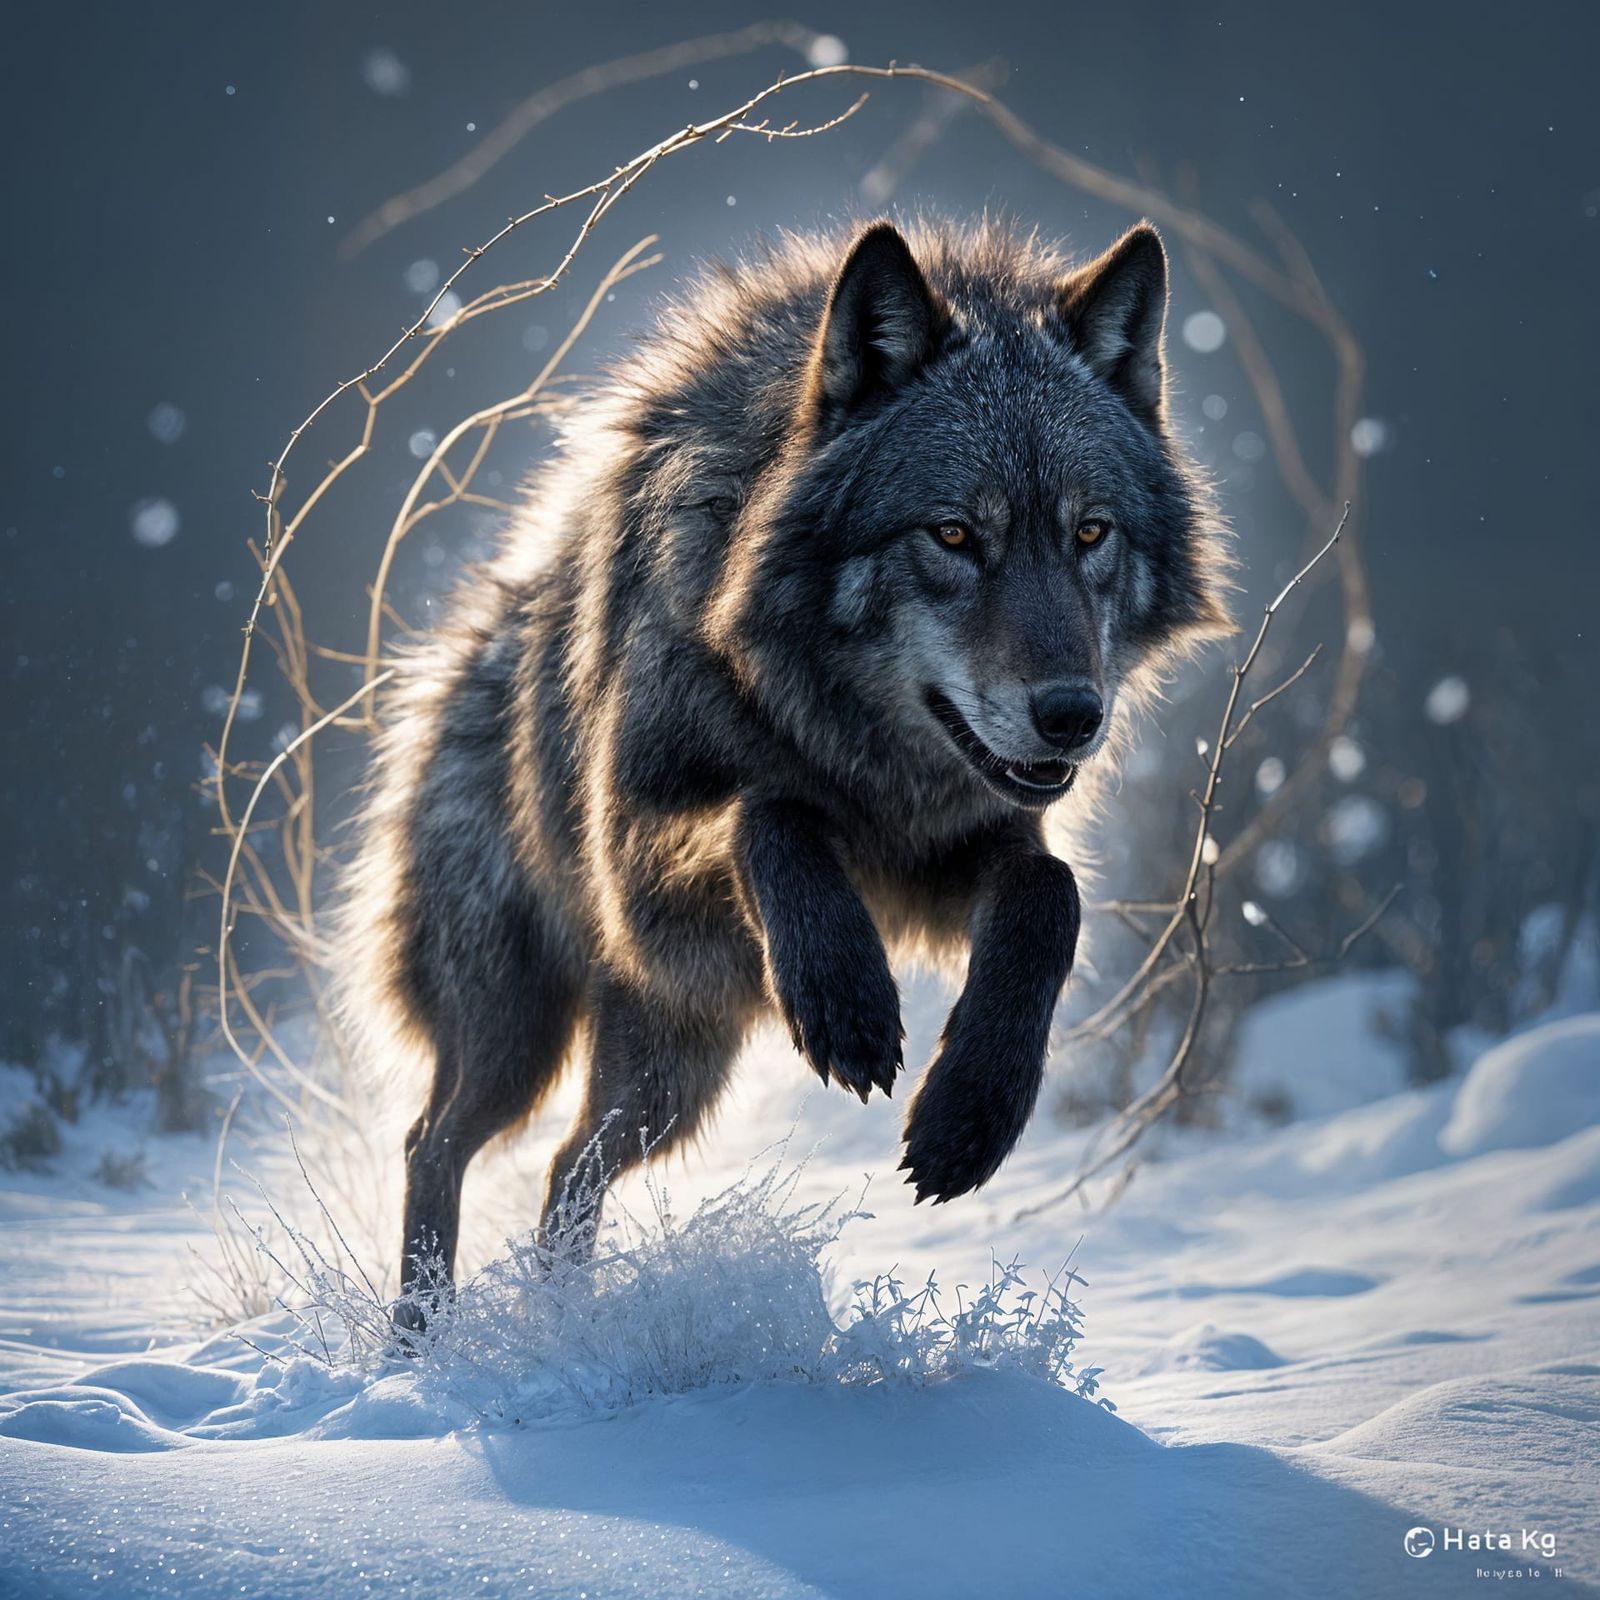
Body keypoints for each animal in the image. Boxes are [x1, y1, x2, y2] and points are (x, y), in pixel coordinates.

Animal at [339, 216, 1230, 1322]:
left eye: (1091, 532)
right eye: (952, 533)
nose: (1072, 718)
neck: (857, 747)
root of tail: (452, 658)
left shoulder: (964, 850)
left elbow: (1049, 895)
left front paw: (969, 1116)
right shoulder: (644, 863)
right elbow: (770, 809)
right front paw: (845, 1001)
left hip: (668, 1077)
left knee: (566, 1166)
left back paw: (564, 1320)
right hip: (527, 1036)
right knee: (435, 1143)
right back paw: (421, 1343)